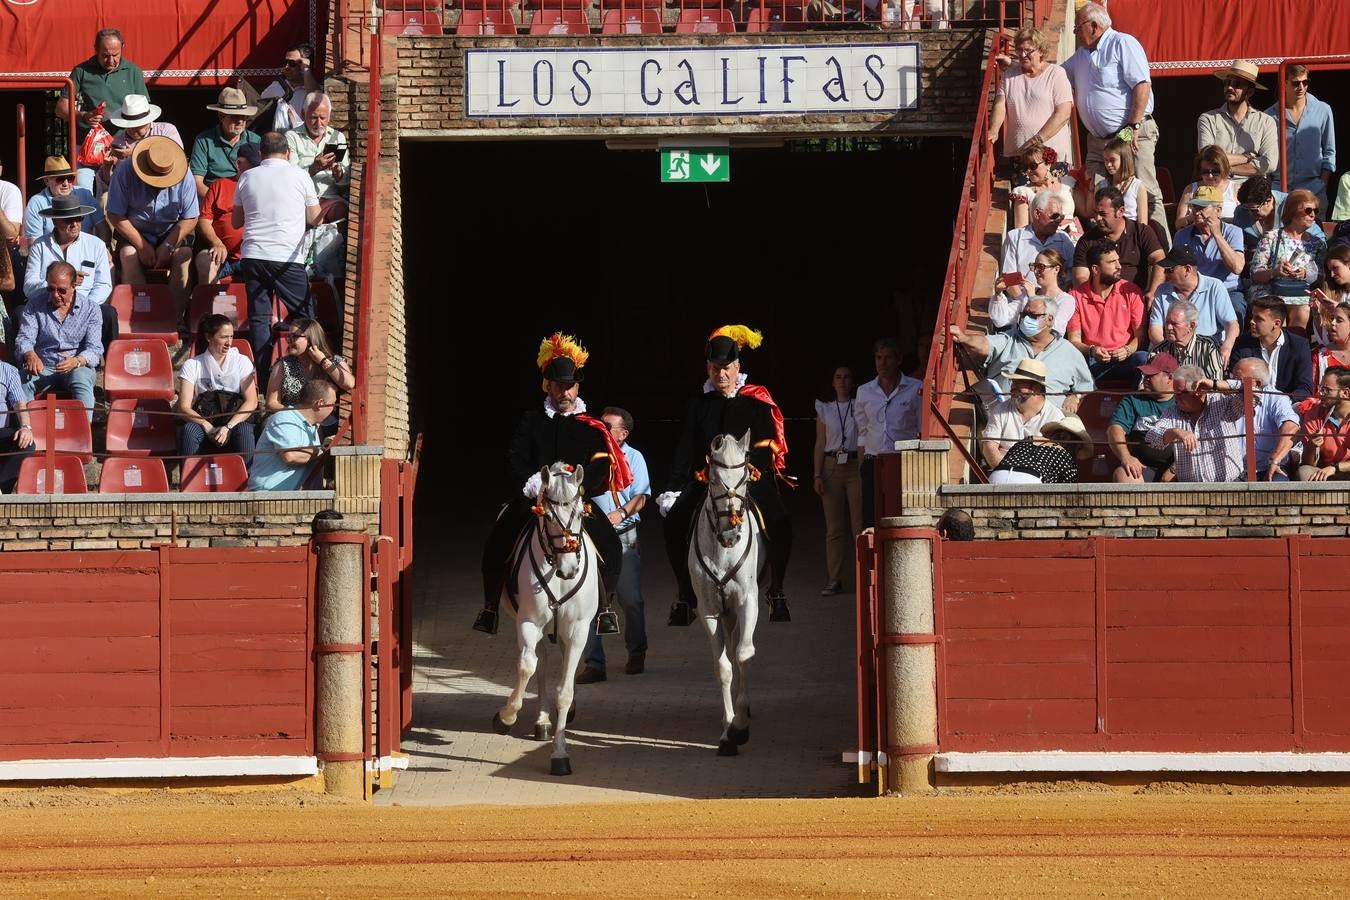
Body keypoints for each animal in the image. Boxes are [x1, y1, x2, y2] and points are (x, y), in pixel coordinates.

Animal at [491, 461, 596, 777]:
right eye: (548, 516)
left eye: (579, 512)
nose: (569, 569)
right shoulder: (529, 622)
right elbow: (528, 666)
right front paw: (506, 717)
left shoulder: (578, 630)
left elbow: (565, 690)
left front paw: (560, 754)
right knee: (541, 663)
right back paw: (542, 722)